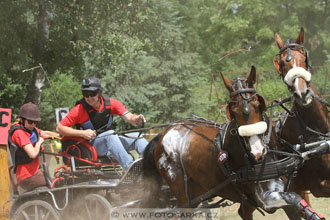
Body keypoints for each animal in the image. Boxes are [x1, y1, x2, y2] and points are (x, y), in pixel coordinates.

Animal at [142, 65, 324, 220]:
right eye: (233, 111)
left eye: (258, 104)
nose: (257, 151)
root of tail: (163, 133)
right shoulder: (265, 198)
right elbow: (292, 199)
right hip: (182, 195)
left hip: (197, 194)